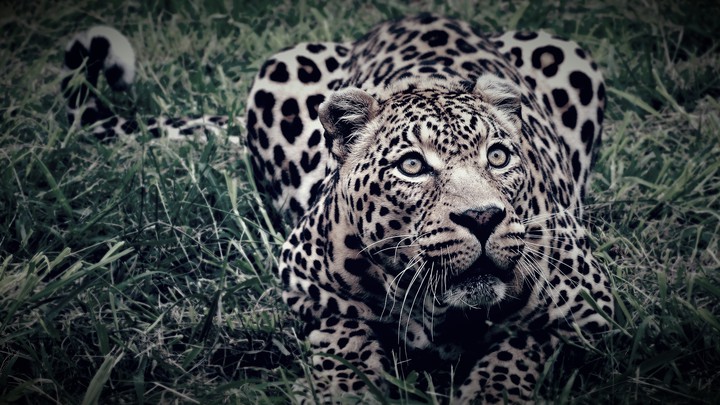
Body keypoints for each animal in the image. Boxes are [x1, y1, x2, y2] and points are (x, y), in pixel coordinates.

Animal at [62, 13, 614, 404]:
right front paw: (343, 389)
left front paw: (493, 391)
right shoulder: (305, 284)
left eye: (497, 157)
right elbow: (343, 334)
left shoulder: (586, 306)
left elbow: (522, 343)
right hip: (280, 69)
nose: (482, 219)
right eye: (412, 166)